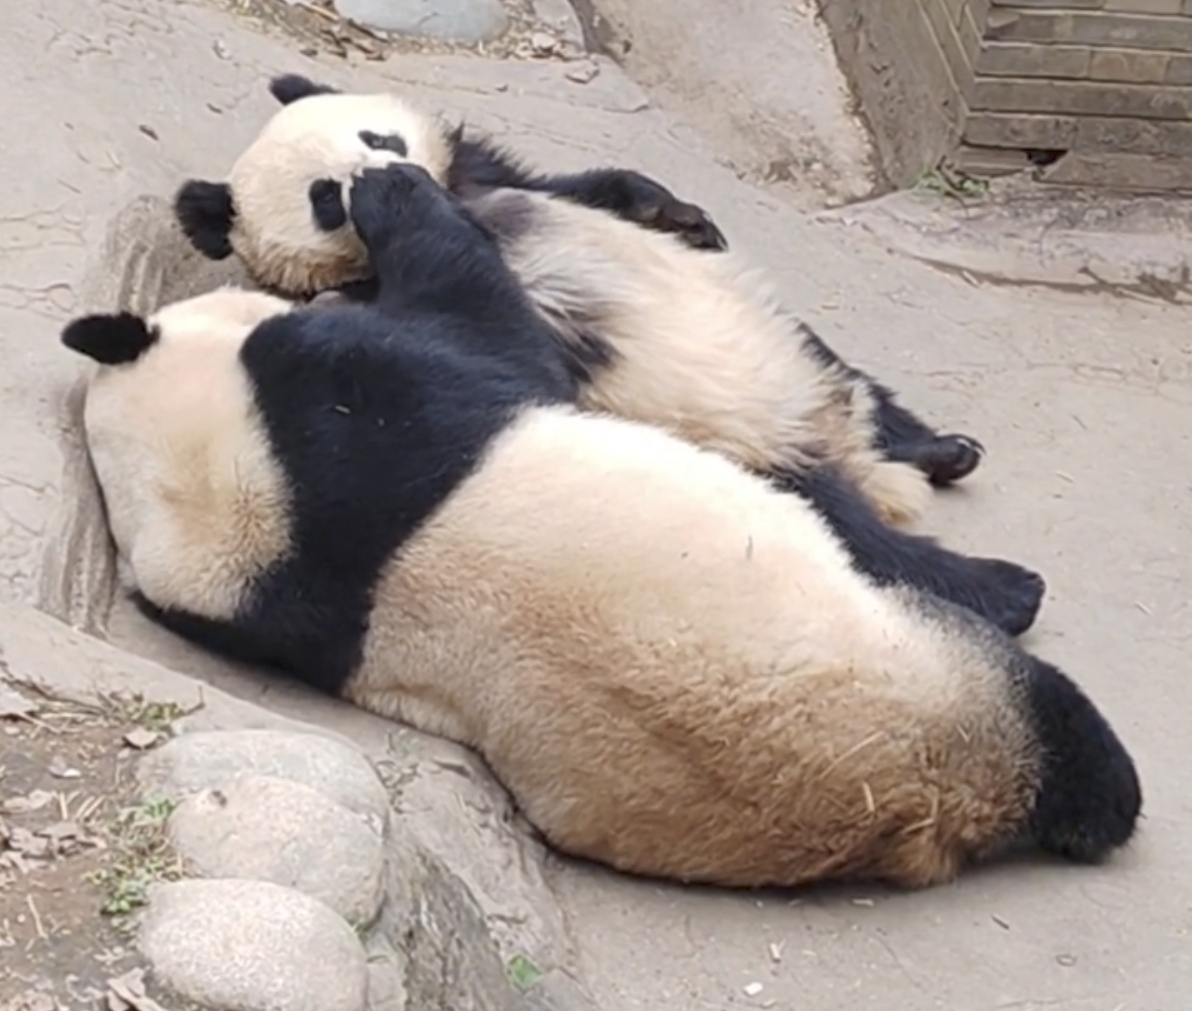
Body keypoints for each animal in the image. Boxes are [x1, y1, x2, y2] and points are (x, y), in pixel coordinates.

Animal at [60, 162, 1139, 887]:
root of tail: (923, 806)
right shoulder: (358, 410)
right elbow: (498, 340)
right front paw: (395, 189)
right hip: (936, 664)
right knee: (1051, 718)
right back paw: (1027, 626)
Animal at [172, 76, 1048, 639]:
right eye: (323, 196)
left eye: (376, 134)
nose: (388, 171)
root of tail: (838, 448)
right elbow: (499, 339)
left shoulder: (499, 183)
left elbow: (594, 189)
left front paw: (685, 216)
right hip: (738, 451)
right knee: (857, 534)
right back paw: (1007, 588)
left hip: (793, 354)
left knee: (856, 384)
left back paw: (941, 449)